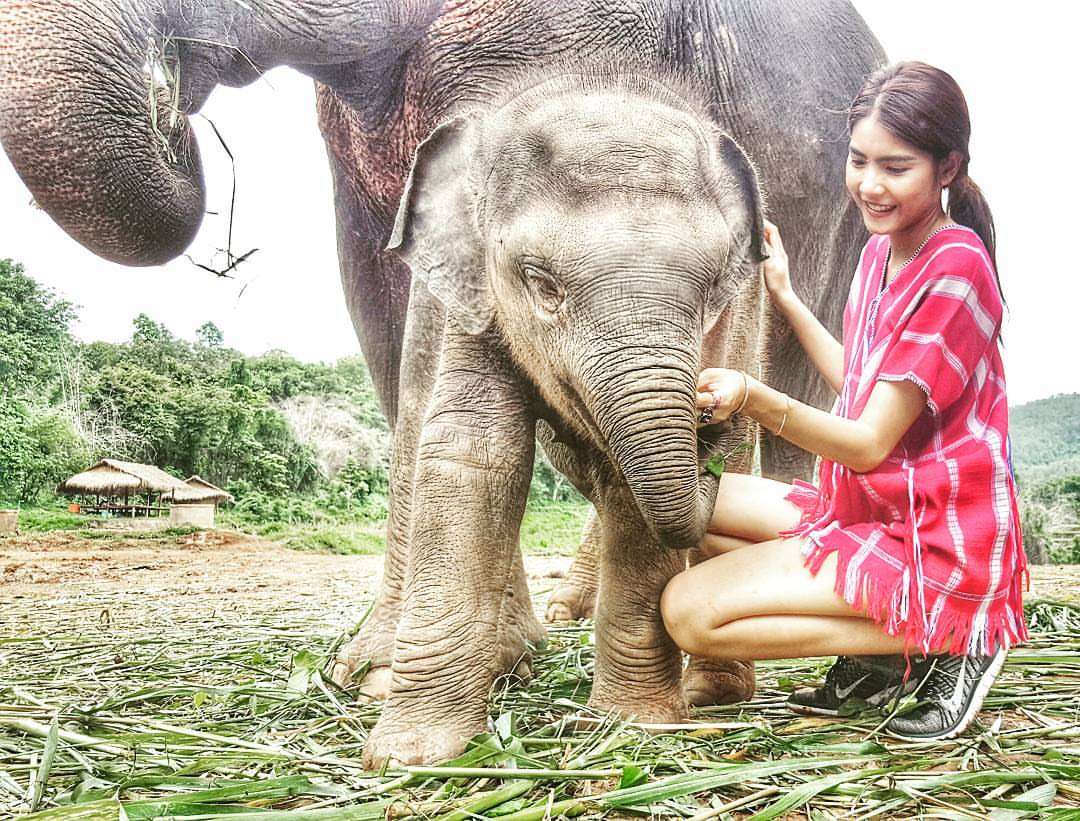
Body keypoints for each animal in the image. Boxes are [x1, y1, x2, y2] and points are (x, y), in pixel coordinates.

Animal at [0, 0, 884, 767]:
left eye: (708, 293)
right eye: (538, 283)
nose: (173, 113)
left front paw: (616, 719)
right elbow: (442, 401)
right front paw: (396, 697)